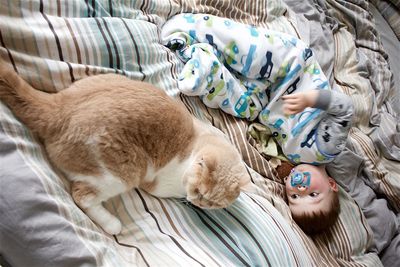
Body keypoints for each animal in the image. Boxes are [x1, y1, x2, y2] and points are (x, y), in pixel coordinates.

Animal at [0, 62, 252, 234]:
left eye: (213, 203)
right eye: (199, 192)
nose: (198, 202)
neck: (196, 142)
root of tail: (58, 108)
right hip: (120, 174)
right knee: (82, 197)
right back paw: (112, 224)